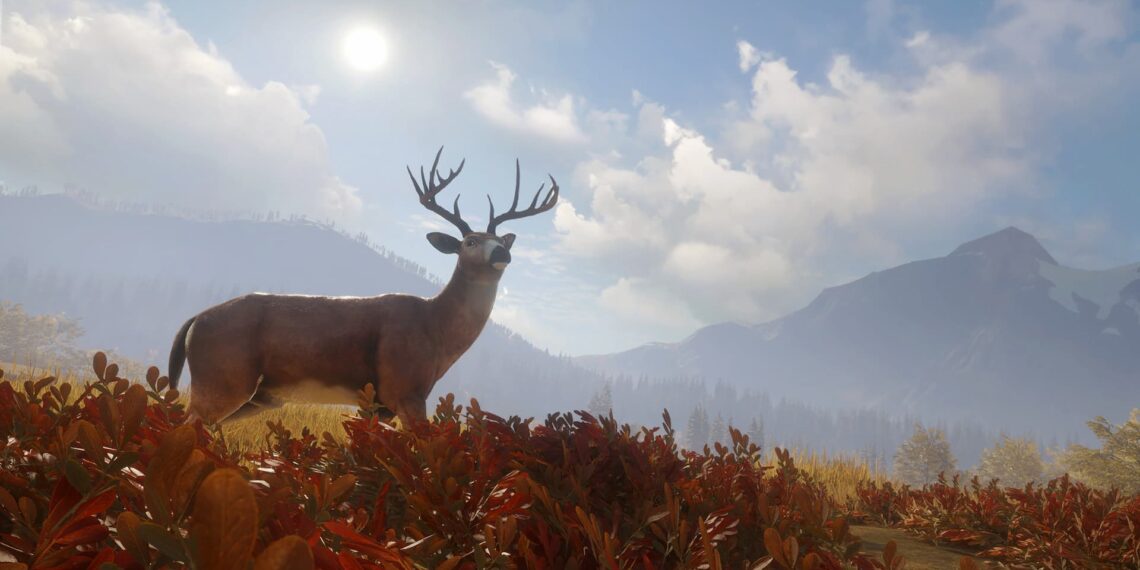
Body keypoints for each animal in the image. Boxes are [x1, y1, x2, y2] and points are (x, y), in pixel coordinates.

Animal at [166, 147, 559, 427]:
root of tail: (194, 320)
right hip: (222, 377)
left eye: (499, 239)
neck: (436, 329)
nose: (503, 252)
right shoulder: (404, 389)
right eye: (470, 242)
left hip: (257, 394)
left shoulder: (377, 404)